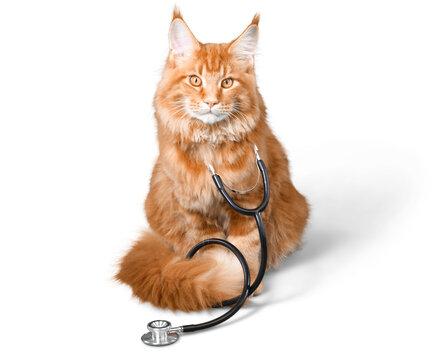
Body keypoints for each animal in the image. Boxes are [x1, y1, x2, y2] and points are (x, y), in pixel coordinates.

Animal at [115, 9, 308, 312]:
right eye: (195, 80)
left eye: (226, 82)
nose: (210, 102)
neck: (210, 143)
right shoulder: (193, 210)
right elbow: (214, 248)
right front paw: (224, 280)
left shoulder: (249, 203)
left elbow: (246, 246)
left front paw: (247, 282)